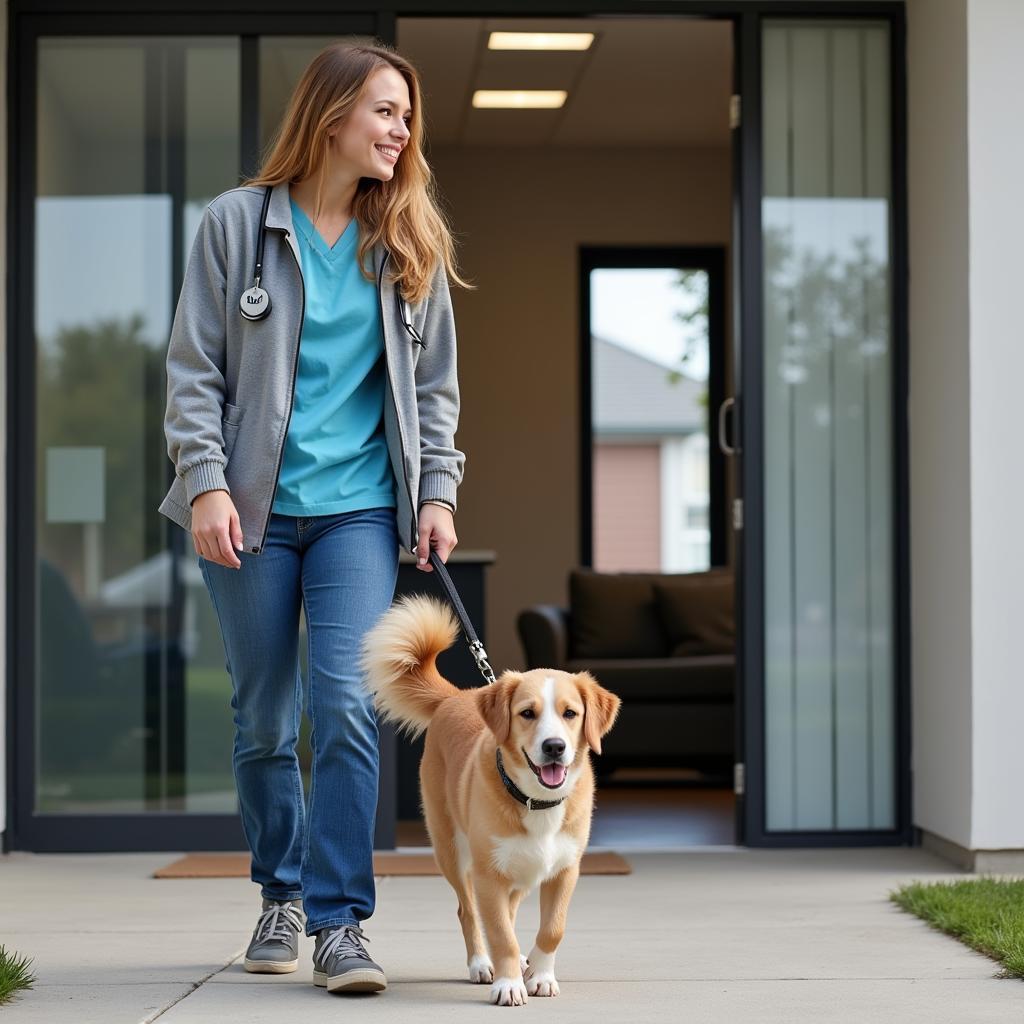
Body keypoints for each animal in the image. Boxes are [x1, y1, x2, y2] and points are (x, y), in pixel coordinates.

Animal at [364, 598, 618, 1003]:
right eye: (527, 713)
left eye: (570, 713)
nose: (554, 747)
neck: (536, 801)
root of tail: (455, 697)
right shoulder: (488, 875)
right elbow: (499, 933)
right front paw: (508, 983)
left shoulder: (564, 871)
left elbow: (552, 929)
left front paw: (540, 975)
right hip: (452, 851)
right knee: (468, 912)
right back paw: (482, 964)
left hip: (522, 870)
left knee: (507, 912)